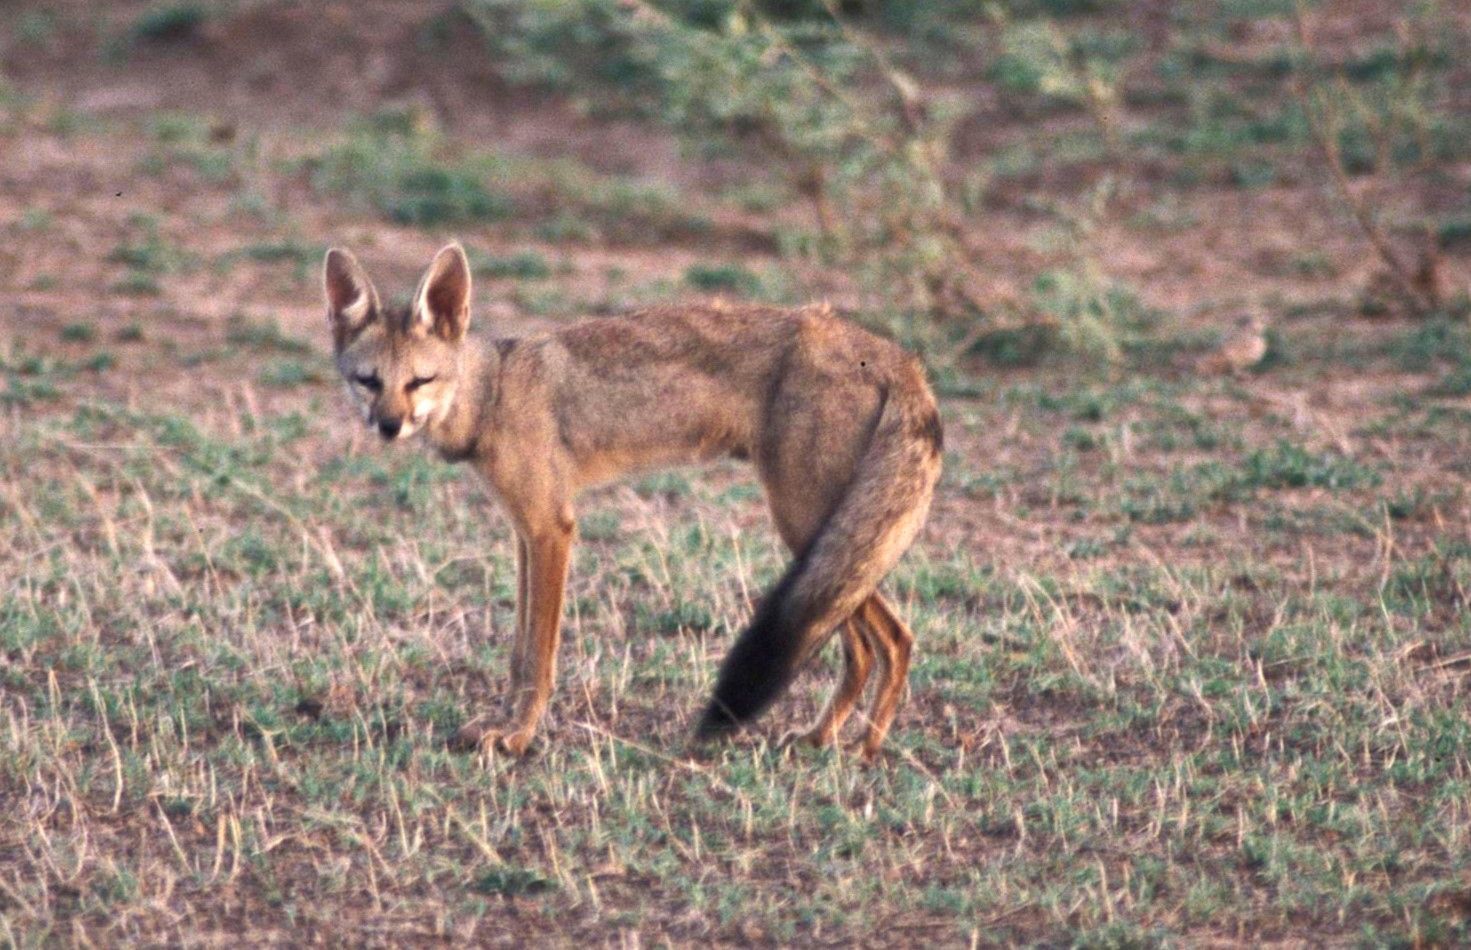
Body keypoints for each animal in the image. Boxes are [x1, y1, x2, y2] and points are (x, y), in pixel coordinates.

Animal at [323, 244, 941, 758]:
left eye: (420, 381)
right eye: (369, 381)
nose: (388, 427)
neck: (494, 394)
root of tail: (896, 356)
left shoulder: (552, 529)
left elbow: (539, 655)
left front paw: (519, 737)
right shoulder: (526, 533)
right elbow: (519, 652)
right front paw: (499, 725)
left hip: (806, 527)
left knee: (893, 640)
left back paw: (864, 749)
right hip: (824, 546)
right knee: (865, 646)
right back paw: (821, 738)